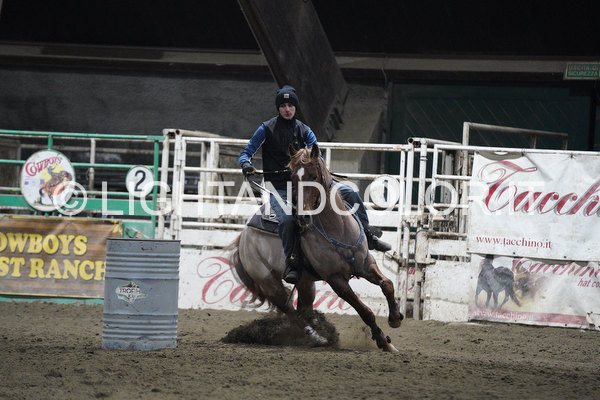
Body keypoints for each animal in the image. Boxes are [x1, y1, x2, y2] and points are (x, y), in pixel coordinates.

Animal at [227, 144, 403, 352]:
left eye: (313, 175)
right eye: (293, 177)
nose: (302, 216)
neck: (338, 228)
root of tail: (243, 237)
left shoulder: (366, 264)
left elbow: (388, 284)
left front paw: (395, 318)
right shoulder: (336, 279)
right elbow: (365, 311)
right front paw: (384, 341)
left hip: (306, 282)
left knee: (304, 308)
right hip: (268, 282)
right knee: (290, 311)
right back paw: (316, 336)